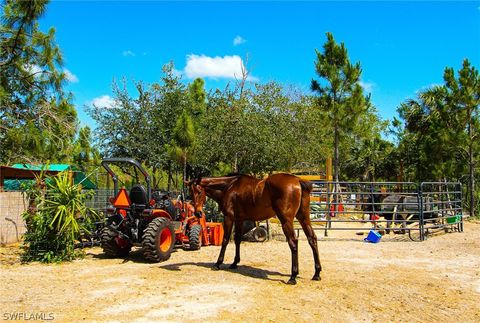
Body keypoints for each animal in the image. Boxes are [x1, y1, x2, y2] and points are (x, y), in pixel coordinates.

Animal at [188, 173, 322, 284]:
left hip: (286, 221)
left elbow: (225, 240)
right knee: (312, 239)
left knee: (293, 242)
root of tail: (298, 180)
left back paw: (293, 276)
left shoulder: (229, 217)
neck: (229, 186)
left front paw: (218, 263)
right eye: (190, 193)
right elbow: (237, 239)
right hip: (303, 218)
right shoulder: (239, 219)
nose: (198, 213)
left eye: (199, 191)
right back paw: (316, 273)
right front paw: (235, 262)